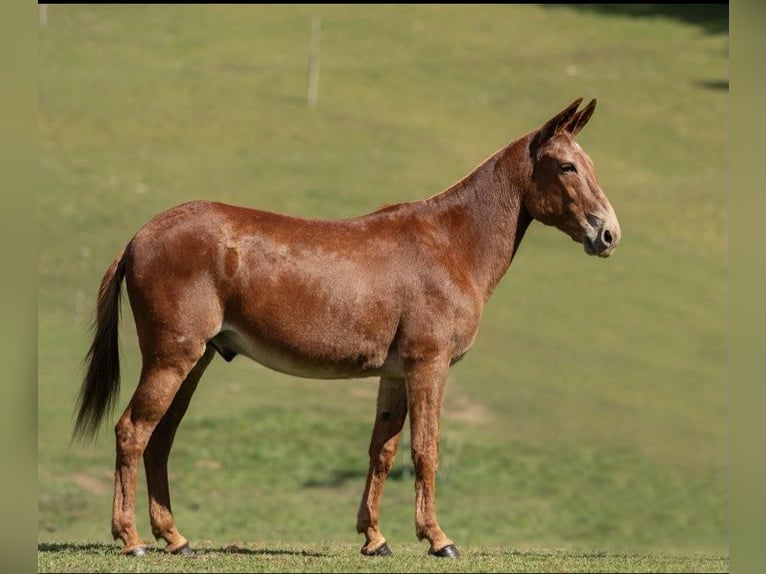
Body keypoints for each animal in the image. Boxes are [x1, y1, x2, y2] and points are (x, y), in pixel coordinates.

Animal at [73, 98, 620, 558]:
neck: (451, 243)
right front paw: (438, 539)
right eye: (567, 166)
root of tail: (140, 237)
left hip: (195, 361)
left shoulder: (396, 374)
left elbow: (383, 451)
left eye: (589, 163)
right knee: (132, 431)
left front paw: (375, 538)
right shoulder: (429, 366)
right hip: (173, 357)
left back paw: (174, 537)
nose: (609, 233)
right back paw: (131, 540)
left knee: (160, 438)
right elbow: (426, 450)